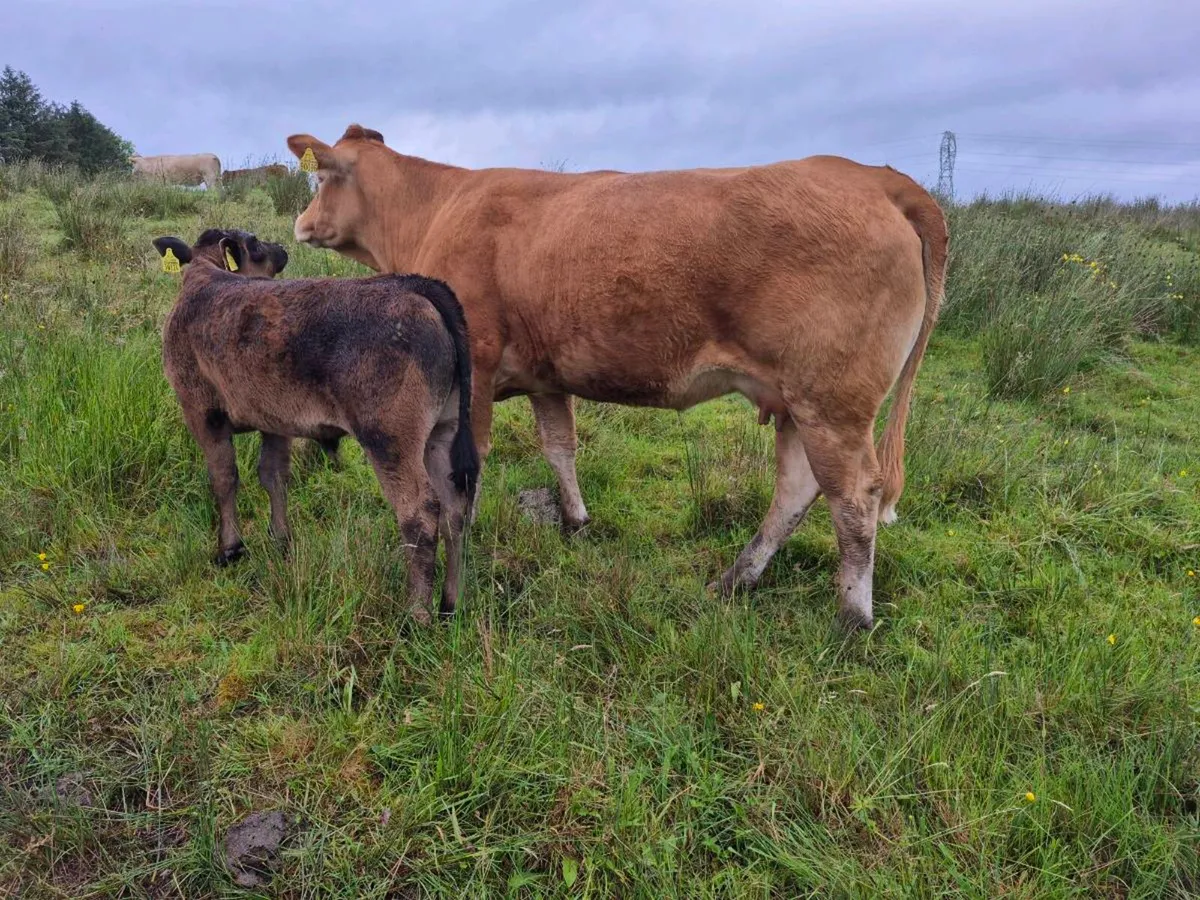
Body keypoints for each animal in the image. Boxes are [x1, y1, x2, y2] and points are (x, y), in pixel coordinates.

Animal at [152, 226, 480, 624]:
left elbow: (224, 477)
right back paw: (451, 603)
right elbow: (273, 475)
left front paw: (230, 548)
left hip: (389, 437)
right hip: (443, 429)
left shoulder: (201, 409)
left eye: (254, 242)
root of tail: (414, 285)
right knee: (455, 507)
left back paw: (416, 615)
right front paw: (280, 540)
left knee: (419, 512)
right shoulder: (274, 418)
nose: (281, 249)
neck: (206, 275)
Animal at [285, 124, 948, 630]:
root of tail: (872, 176)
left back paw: (852, 617)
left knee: (854, 496)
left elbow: (464, 468)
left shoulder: (474, 369)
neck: (434, 210)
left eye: (318, 180)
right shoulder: (547, 375)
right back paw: (736, 579)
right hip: (794, 401)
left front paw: (464, 539)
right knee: (796, 487)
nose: (298, 225)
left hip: (831, 400)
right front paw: (576, 520)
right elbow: (560, 446)